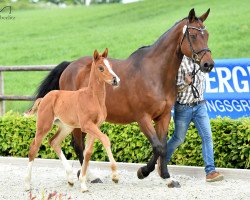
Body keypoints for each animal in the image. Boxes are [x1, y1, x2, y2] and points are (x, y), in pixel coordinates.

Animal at [24, 48, 120, 192]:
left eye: (111, 66)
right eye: (101, 68)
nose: (115, 80)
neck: (93, 98)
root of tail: (44, 98)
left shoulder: (95, 126)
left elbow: (88, 152)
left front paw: (84, 183)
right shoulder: (87, 125)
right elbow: (105, 139)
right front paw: (114, 176)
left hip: (66, 127)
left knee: (54, 142)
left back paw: (70, 178)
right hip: (44, 125)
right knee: (34, 148)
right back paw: (27, 184)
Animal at [35, 8, 215, 188]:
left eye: (206, 34)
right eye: (193, 36)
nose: (208, 64)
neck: (155, 73)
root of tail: (69, 66)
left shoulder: (163, 117)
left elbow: (163, 147)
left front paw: (167, 177)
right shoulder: (143, 118)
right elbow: (157, 147)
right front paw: (143, 172)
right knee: (78, 145)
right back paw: (90, 176)